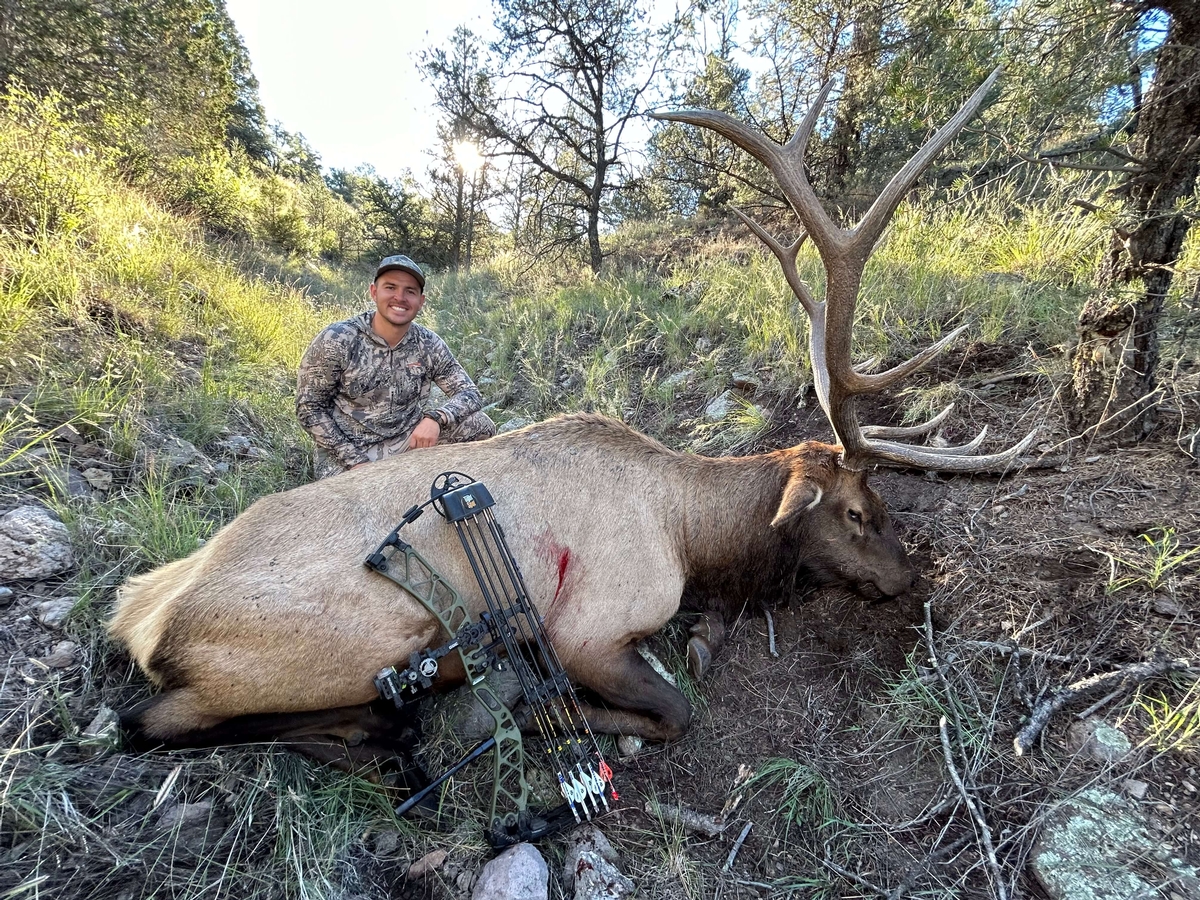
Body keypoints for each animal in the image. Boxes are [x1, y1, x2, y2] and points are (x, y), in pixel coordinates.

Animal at [108, 68, 1034, 771]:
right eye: (856, 512)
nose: (912, 577)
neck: (691, 532)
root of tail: (142, 617)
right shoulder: (590, 627)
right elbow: (673, 710)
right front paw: (538, 714)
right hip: (348, 642)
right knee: (147, 724)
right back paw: (380, 727)